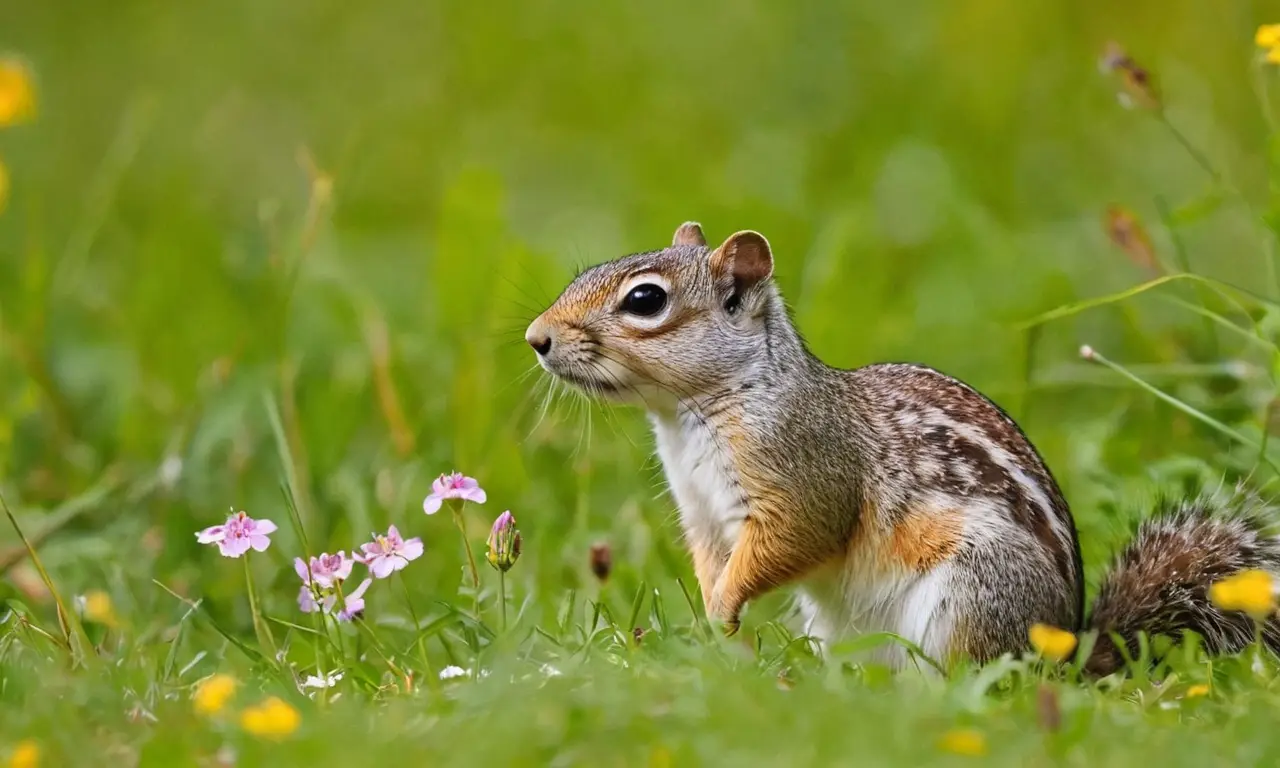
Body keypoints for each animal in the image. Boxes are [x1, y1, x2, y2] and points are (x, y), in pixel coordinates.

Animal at [524, 221, 1280, 673]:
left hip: (969, 597)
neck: (690, 415)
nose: (537, 338)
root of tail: (1062, 655)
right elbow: (712, 562)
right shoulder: (703, 513)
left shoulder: (806, 475)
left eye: (645, 301)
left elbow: (794, 540)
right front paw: (715, 624)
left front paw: (723, 611)